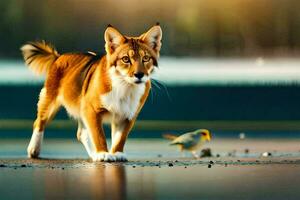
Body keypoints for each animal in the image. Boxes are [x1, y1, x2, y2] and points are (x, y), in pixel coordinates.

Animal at [21, 24, 163, 162]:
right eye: (125, 59)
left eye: (146, 58)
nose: (139, 75)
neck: (124, 86)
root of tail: (58, 56)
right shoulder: (92, 110)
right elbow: (98, 134)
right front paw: (103, 153)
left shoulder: (128, 115)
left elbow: (120, 137)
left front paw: (116, 153)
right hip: (50, 100)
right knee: (39, 122)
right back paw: (34, 149)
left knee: (81, 134)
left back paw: (93, 154)